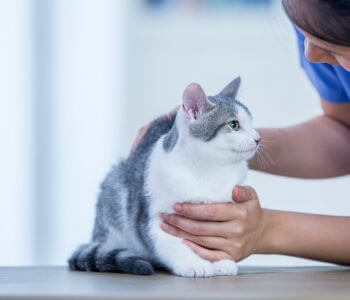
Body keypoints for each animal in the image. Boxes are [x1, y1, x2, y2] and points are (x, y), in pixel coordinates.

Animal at [68, 77, 260, 276]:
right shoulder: (152, 219)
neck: (208, 170)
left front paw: (220, 260)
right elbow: (171, 244)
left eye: (252, 123)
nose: (258, 138)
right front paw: (193, 264)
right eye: (234, 125)